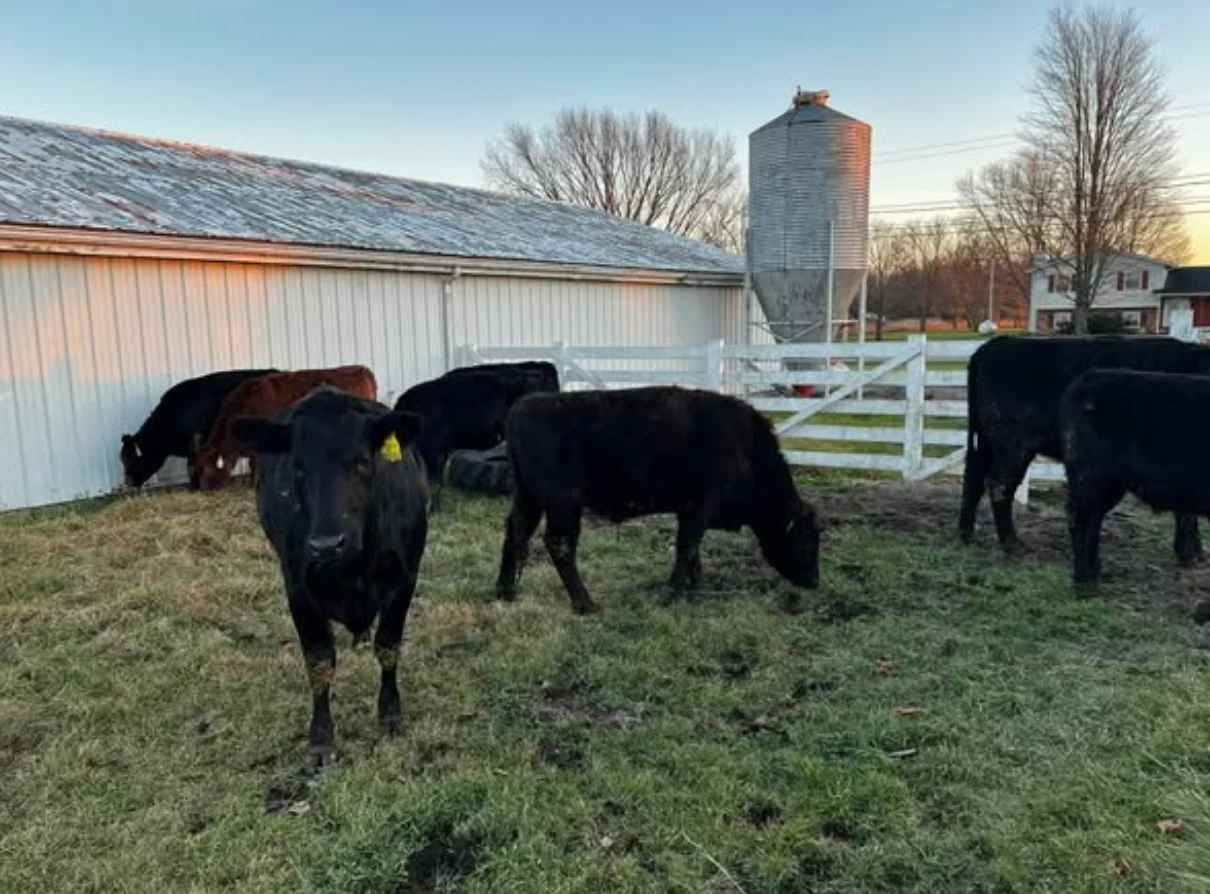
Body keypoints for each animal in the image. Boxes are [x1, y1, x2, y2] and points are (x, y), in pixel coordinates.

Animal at [229, 386, 428, 768]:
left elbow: (388, 647)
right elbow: (319, 663)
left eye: (362, 462)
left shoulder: (405, 579)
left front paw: (390, 716)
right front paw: (321, 738)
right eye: (298, 468)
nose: (326, 544)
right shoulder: (297, 589)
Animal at [494, 385, 821, 615]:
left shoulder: (688, 510)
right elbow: (687, 546)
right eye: (806, 540)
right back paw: (585, 604)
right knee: (559, 545)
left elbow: (692, 548)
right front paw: (672, 591)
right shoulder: (700, 507)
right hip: (562, 503)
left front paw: (695, 583)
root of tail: (524, 405)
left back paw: (505, 591)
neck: (745, 446)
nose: (815, 581)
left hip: (529, 498)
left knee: (515, 532)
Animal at [959, 334, 1210, 565]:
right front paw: (1189, 553)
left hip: (987, 441)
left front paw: (1196, 552)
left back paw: (967, 535)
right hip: (1013, 443)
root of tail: (996, 344)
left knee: (974, 478)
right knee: (999, 485)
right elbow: (1187, 512)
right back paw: (1012, 544)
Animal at [1058, 368, 1210, 588]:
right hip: (1091, 477)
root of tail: (1090, 376)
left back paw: (1095, 574)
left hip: (1106, 483)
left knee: (1092, 521)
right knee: (1080, 520)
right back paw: (1085, 583)